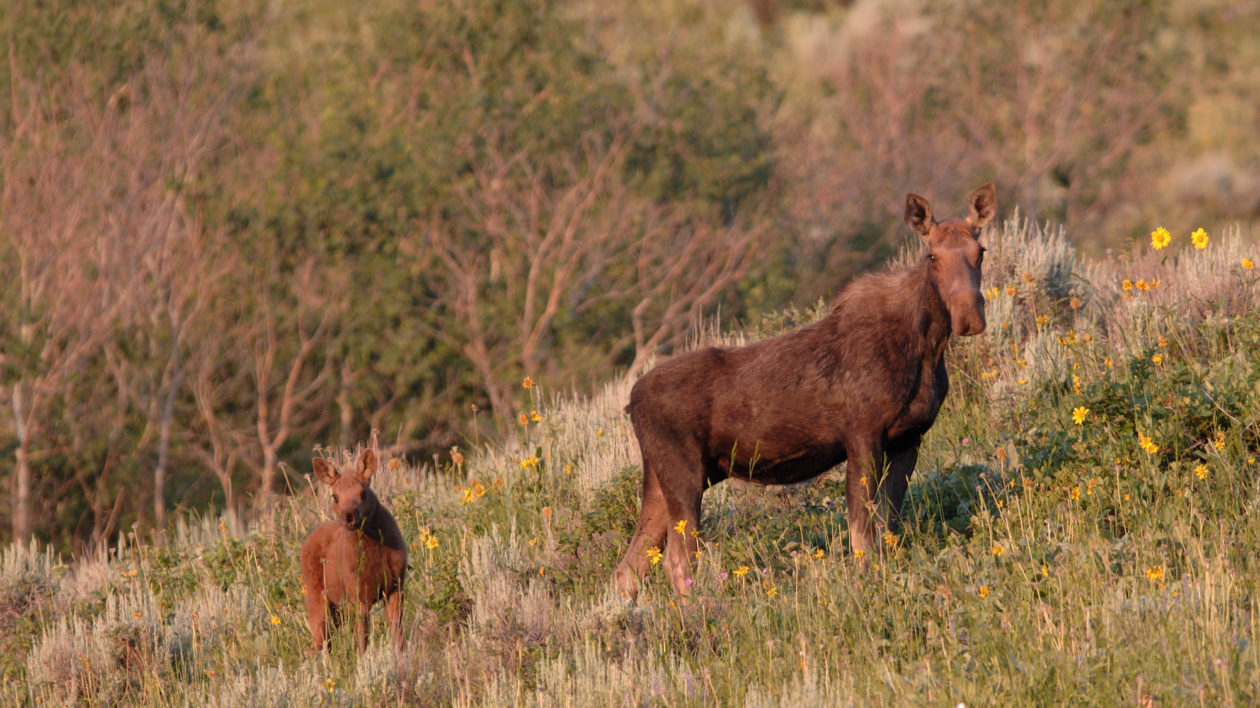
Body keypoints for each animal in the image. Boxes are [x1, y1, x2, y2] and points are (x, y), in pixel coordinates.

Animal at [301, 445, 408, 650]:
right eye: (335, 496)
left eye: (363, 493)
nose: (348, 516)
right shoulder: (358, 594)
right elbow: (362, 640)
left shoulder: (396, 585)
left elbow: (397, 634)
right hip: (317, 596)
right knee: (318, 642)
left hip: (338, 609)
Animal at [614, 180, 997, 594]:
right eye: (931, 256)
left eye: (980, 251)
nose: (969, 317)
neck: (927, 347)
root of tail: (631, 402)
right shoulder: (862, 434)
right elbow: (862, 537)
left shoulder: (909, 439)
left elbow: (888, 529)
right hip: (682, 472)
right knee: (677, 561)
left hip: (660, 478)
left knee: (630, 566)